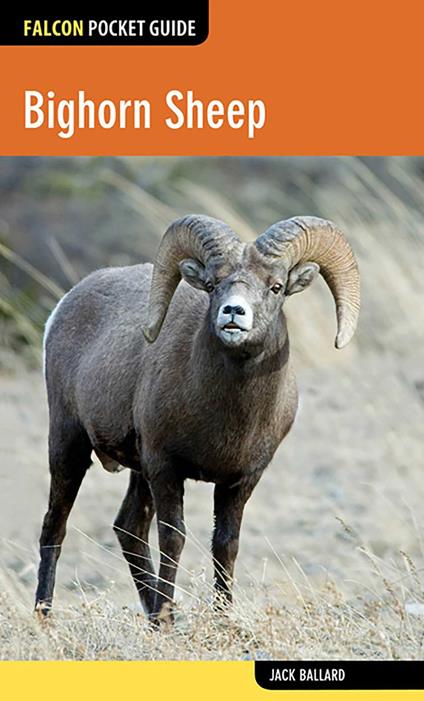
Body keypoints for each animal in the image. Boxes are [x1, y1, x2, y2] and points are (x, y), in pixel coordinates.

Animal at [35, 214, 360, 624]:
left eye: (275, 286)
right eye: (213, 284)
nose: (234, 313)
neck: (228, 419)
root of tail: (64, 306)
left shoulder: (241, 480)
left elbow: (226, 544)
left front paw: (219, 618)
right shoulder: (165, 468)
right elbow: (173, 538)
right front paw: (167, 621)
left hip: (135, 472)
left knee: (129, 529)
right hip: (69, 445)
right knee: (55, 527)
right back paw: (46, 617)